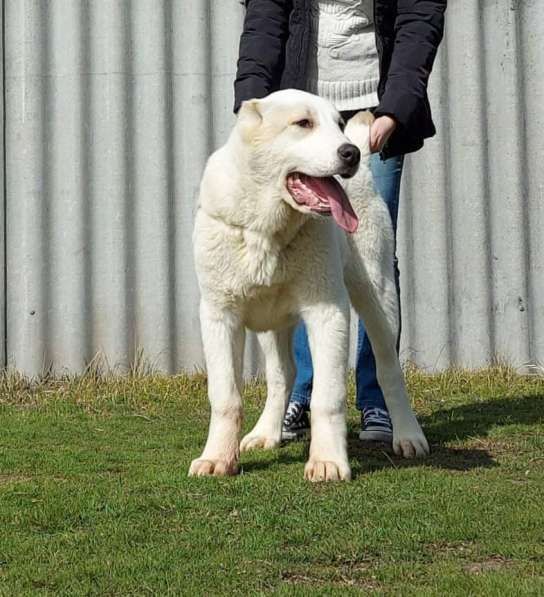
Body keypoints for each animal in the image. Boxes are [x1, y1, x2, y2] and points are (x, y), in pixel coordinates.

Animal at [190, 89, 430, 480]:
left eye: (339, 123)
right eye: (303, 123)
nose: (351, 152)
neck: (268, 227)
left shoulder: (327, 311)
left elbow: (327, 397)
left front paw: (328, 461)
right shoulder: (218, 315)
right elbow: (225, 396)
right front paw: (217, 458)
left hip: (379, 297)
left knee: (388, 368)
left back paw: (408, 435)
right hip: (271, 321)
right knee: (283, 374)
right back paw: (265, 433)